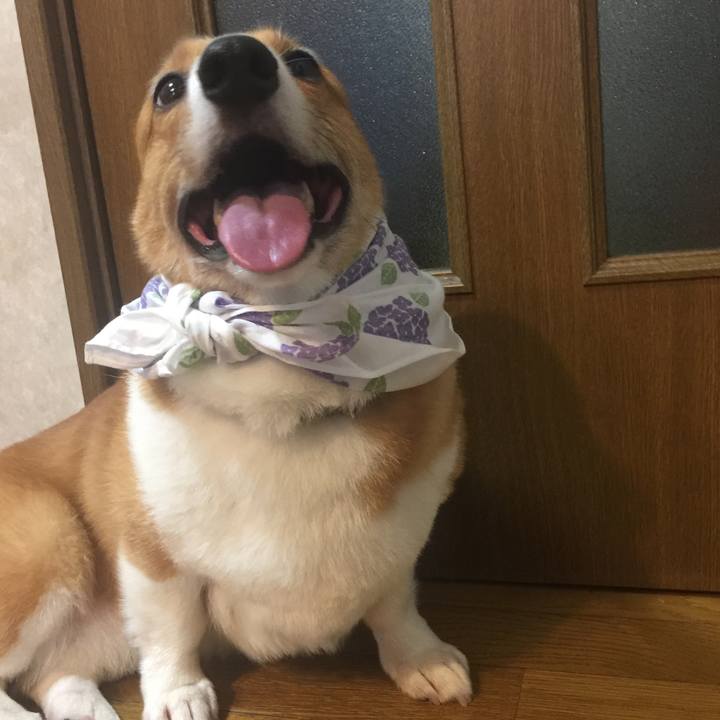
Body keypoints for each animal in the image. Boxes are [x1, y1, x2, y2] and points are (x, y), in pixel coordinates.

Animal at [0, 29, 470, 720]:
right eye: (167, 89)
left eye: (302, 63)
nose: (235, 62)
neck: (275, 341)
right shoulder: (148, 557)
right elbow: (170, 631)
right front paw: (179, 693)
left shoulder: (403, 535)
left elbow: (395, 603)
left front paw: (421, 659)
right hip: (49, 533)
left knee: (54, 677)